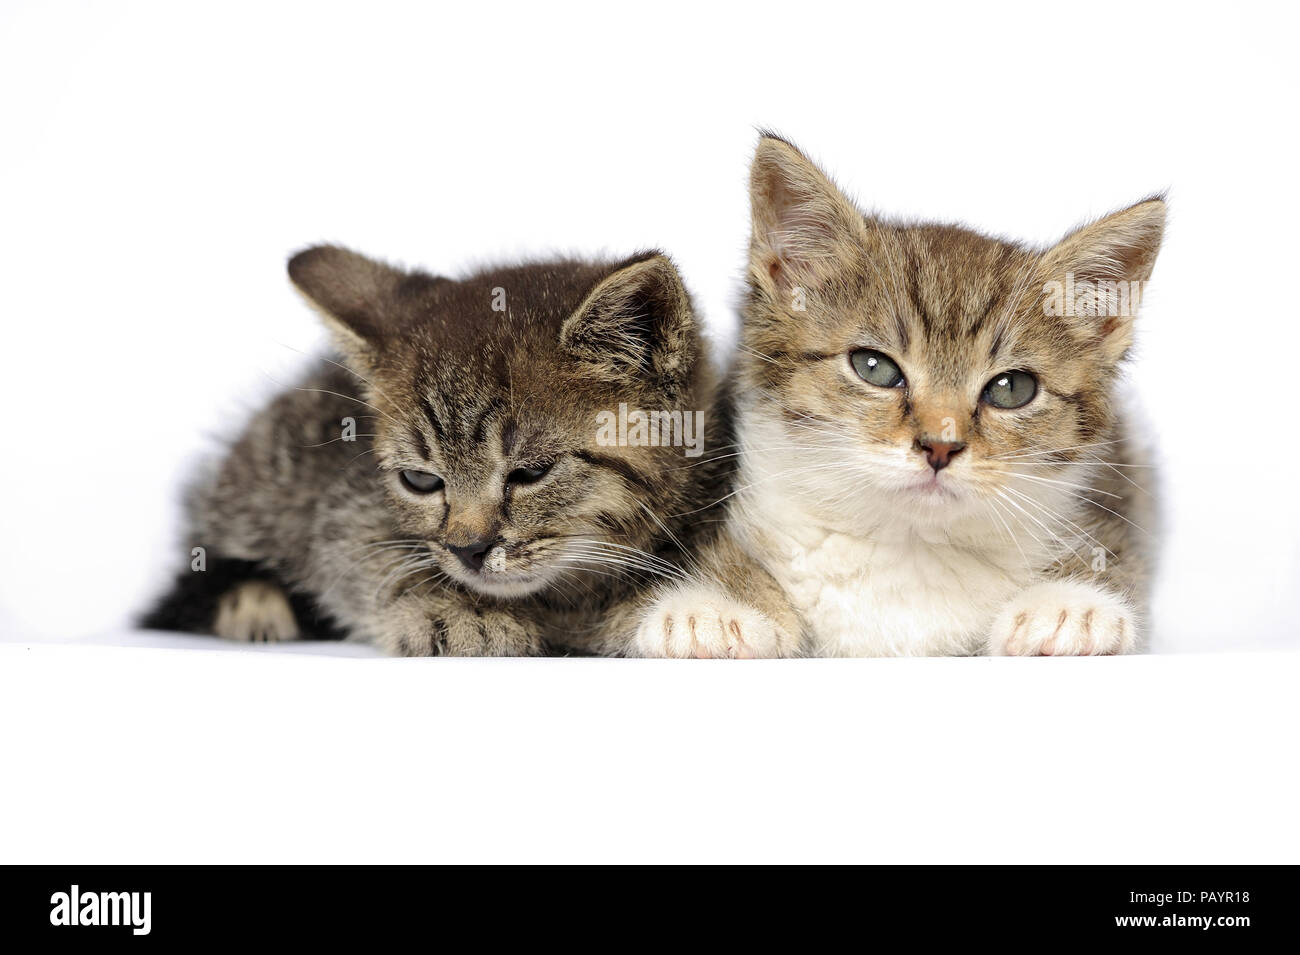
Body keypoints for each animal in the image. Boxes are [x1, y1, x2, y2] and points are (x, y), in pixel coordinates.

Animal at [144, 244, 733, 657]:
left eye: (532, 472)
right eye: (421, 481)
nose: (469, 550)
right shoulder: (340, 503)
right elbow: (359, 553)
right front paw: (455, 610)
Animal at [626, 134, 1159, 657]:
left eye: (1012, 389)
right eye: (874, 367)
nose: (940, 446)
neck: (907, 544)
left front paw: (1068, 604)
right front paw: (712, 608)